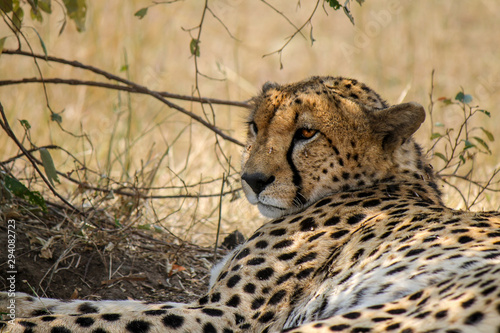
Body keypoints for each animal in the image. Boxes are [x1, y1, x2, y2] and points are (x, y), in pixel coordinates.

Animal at [0, 76, 500, 330]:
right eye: (255, 127)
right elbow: (95, 305)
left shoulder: (227, 314)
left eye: (306, 132)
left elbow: (99, 314)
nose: (253, 180)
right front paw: (17, 301)